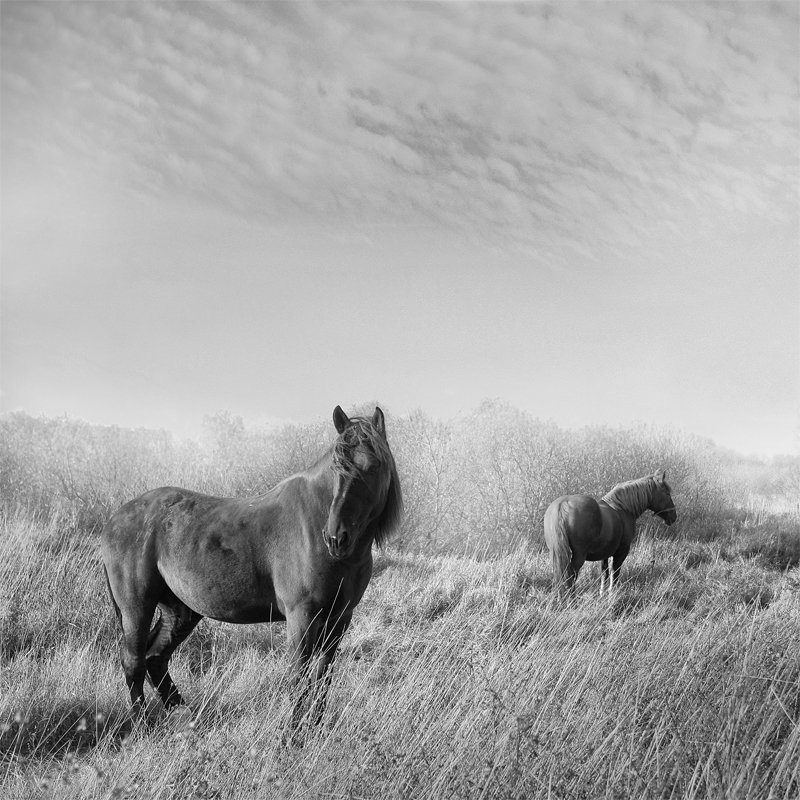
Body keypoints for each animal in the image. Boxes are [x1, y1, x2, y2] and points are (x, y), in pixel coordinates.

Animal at [100, 410, 400, 728]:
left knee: (155, 658)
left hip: (180, 610)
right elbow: (299, 676)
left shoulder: (340, 618)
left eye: (374, 467)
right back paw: (142, 723)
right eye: (336, 468)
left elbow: (323, 675)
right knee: (134, 661)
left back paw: (186, 717)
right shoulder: (302, 617)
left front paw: (316, 728)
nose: (336, 538)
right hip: (137, 607)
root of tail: (116, 518)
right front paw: (292, 732)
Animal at [544, 472, 676, 596]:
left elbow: (604, 572)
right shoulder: (622, 551)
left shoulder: (605, 553)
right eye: (667, 493)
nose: (674, 516)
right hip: (579, 555)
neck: (622, 508)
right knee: (570, 575)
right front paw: (612, 593)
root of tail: (563, 505)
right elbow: (615, 572)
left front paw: (602, 593)